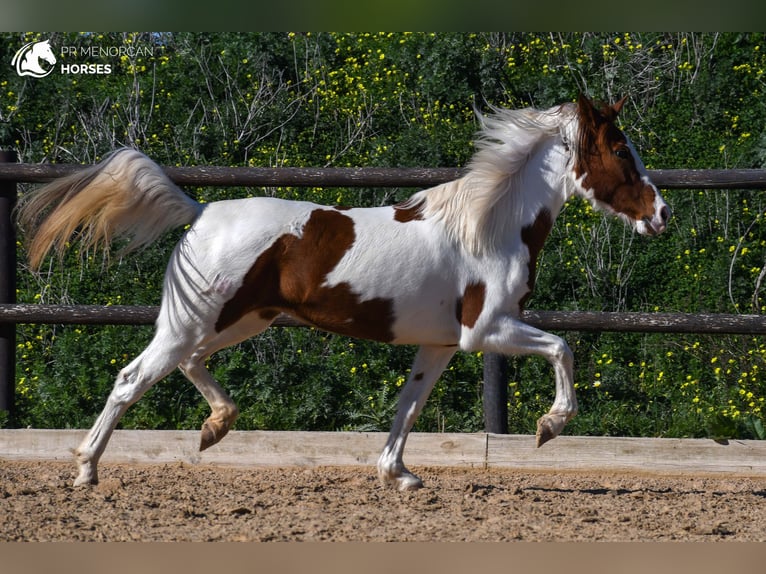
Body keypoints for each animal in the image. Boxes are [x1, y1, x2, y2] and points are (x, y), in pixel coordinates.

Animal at [18, 94, 672, 490]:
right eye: (620, 151)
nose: (661, 214)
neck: (488, 226)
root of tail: (201, 212)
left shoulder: (440, 344)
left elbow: (409, 405)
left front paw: (398, 474)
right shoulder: (487, 330)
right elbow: (564, 348)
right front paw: (549, 425)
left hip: (241, 319)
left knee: (188, 364)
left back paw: (216, 425)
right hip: (198, 320)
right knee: (133, 377)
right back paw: (86, 470)